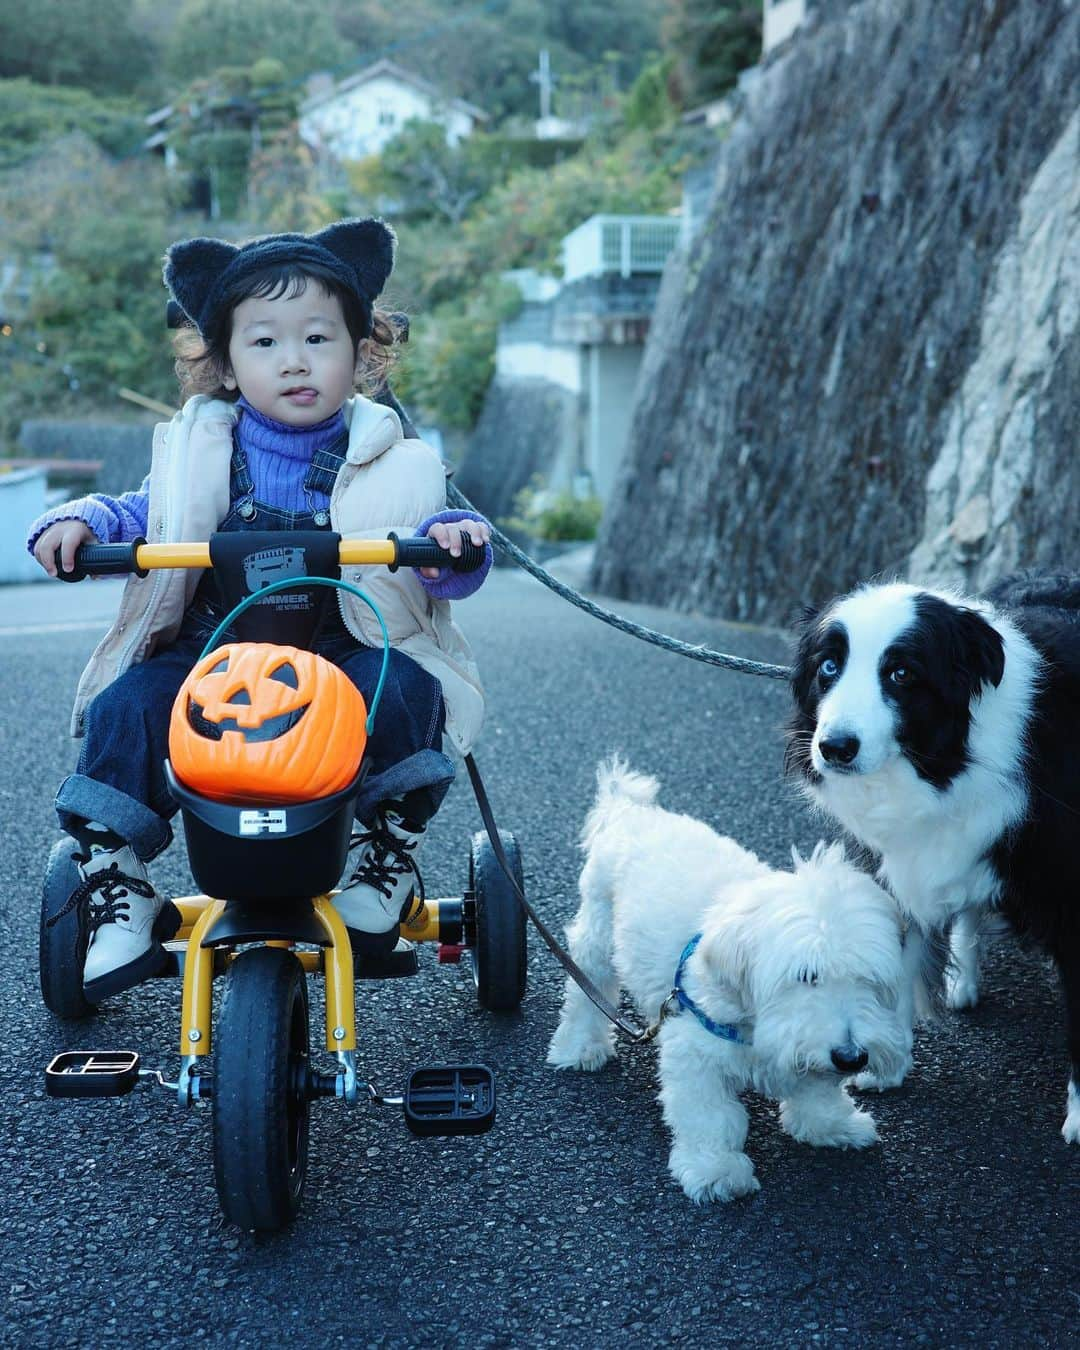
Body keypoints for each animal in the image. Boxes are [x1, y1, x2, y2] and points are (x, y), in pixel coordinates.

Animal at [548, 761, 912, 1204]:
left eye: (868, 979)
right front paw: (716, 1170)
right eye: (807, 976)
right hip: (599, 933)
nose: (851, 1057)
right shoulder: (694, 1047)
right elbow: (711, 1116)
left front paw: (829, 1124)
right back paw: (581, 1046)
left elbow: (818, 1089)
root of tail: (630, 811)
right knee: (587, 990)